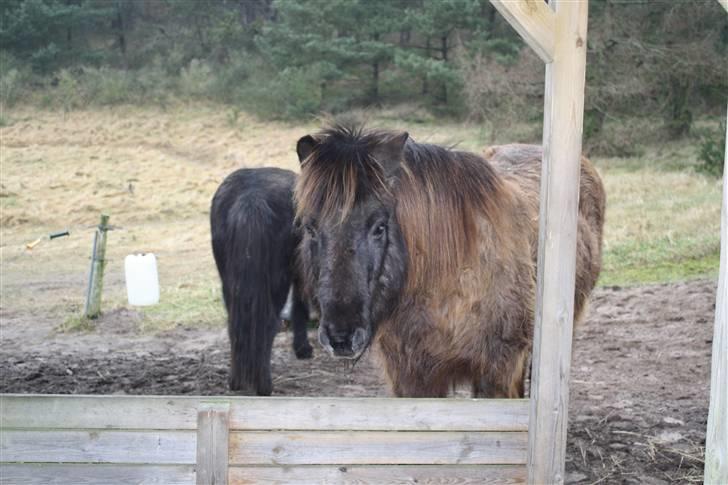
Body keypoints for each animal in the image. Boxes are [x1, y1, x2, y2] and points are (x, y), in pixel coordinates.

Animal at [210, 166, 312, 394]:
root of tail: (251, 198)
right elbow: (301, 305)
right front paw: (303, 349)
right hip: (277, 280)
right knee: (269, 322)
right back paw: (264, 385)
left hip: (229, 280)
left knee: (235, 323)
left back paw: (237, 382)